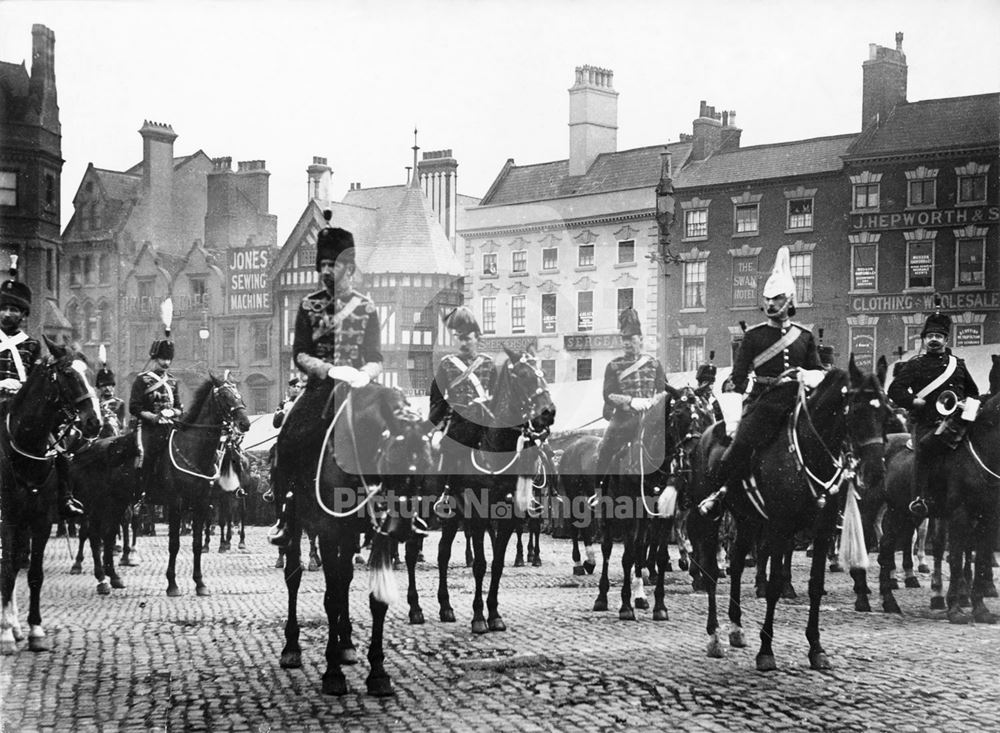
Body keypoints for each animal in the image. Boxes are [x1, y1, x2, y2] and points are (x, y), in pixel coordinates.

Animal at [1, 338, 102, 652]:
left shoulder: (40, 521)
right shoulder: (7, 519)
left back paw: (16, 625)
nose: (94, 422)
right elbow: (6, 569)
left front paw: (33, 629)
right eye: (68, 373)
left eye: (92, 372)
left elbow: (33, 574)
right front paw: (5, 635)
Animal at [688, 360, 892, 668]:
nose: (876, 472)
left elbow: (816, 585)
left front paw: (816, 648)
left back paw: (736, 628)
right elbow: (773, 585)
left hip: (747, 519)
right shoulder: (779, 529)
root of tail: (707, 434)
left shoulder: (822, 530)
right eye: (856, 410)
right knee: (711, 571)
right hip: (712, 518)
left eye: (885, 412)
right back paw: (715, 636)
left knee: (736, 565)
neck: (809, 452)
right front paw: (766, 651)